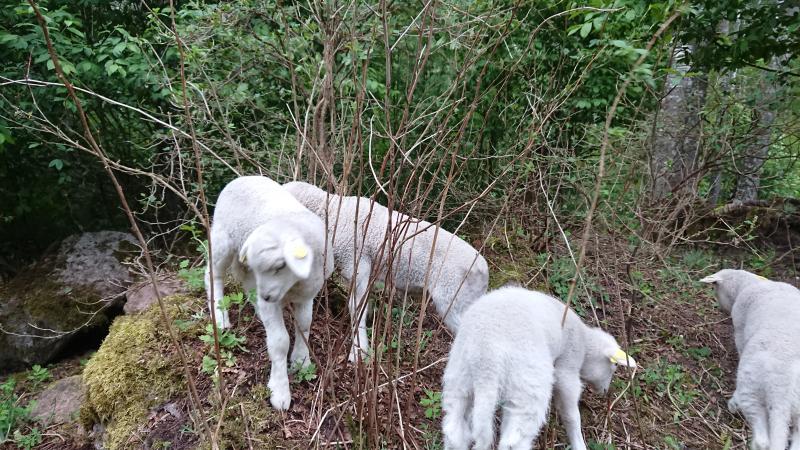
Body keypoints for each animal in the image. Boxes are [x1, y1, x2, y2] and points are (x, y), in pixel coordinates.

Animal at [206, 176, 334, 412]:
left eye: (280, 266)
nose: (265, 297)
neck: (294, 285)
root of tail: (242, 178)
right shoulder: (272, 301)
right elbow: (280, 341)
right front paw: (280, 391)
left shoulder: (307, 295)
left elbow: (305, 324)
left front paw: (301, 359)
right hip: (223, 238)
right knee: (213, 274)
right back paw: (220, 316)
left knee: (246, 282)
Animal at [284, 181, 490, 360]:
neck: (333, 213)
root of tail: (483, 269)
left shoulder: (358, 265)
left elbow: (356, 309)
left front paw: (358, 352)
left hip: (452, 298)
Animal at [440, 286, 636, 450]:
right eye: (613, 367)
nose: (605, 391)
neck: (585, 342)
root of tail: (485, 357)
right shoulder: (567, 366)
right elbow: (571, 415)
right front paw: (578, 443)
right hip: (528, 384)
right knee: (514, 441)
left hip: (459, 376)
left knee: (454, 430)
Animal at [700, 268, 800, 448]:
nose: (720, 309)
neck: (749, 283)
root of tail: (782, 389)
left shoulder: (739, 327)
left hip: (751, 389)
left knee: (762, 440)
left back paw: (734, 406)